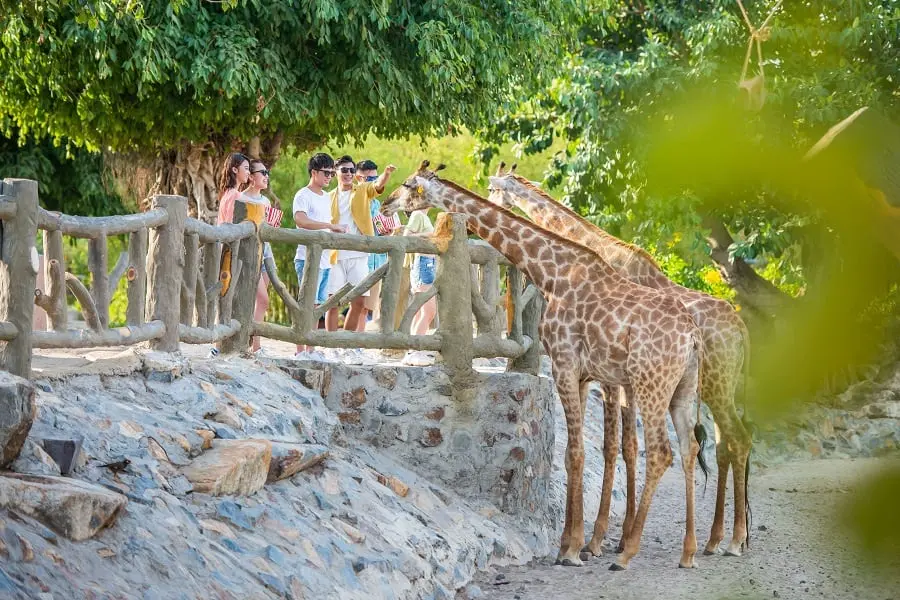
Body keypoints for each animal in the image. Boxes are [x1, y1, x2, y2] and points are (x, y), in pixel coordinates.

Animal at [384, 162, 712, 568]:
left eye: (408, 184)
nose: (386, 203)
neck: (550, 274)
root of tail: (692, 336)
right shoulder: (584, 376)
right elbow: (575, 454)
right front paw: (570, 543)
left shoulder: (564, 366)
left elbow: (575, 453)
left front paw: (573, 548)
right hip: (683, 388)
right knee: (689, 448)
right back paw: (689, 552)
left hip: (652, 384)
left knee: (662, 452)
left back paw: (629, 552)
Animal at [488, 168, 756, 556]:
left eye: (492, 188)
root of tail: (742, 331)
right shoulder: (617, 378)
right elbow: (627, 445)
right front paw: (616, 535)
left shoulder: (610, 377)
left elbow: (615, 444)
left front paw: (598, 540)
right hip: (718, 388)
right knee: (725, 444)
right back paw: (716, 539)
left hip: (716, 386)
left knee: (738, 439)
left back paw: (733, 540)